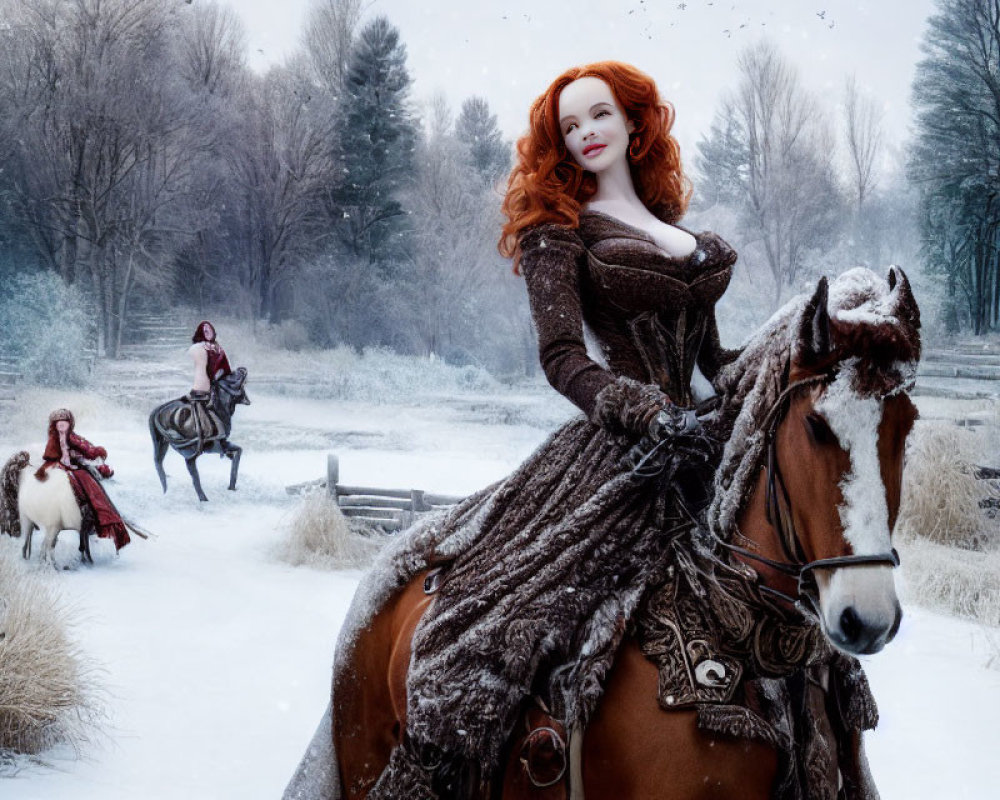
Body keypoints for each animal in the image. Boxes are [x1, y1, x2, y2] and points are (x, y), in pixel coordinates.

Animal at [149, 368, 250, 500]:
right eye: (231, 375)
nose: (242, 369)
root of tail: (158, 412)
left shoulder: (219, 445)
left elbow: (237, 453)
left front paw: (231, 486)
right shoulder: (210, 448)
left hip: (161, 443)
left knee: (159, 462)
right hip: (182, 452)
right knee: (190, 474)